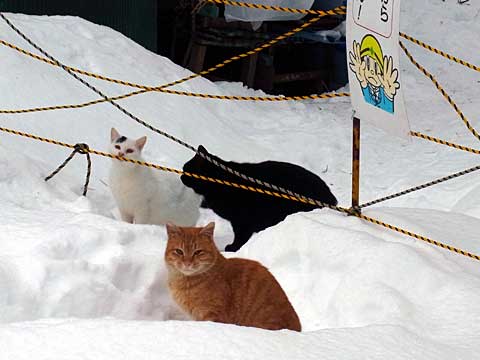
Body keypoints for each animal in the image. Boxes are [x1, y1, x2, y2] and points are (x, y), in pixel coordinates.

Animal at [180, 145, 338, 252]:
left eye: (185, 169)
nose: (181, 176)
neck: (222, 181)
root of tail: (330, 196)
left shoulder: (242, 221)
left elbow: (240, 237)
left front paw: (233, 248)